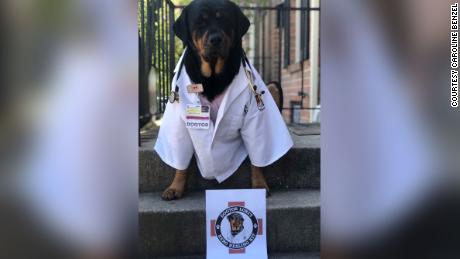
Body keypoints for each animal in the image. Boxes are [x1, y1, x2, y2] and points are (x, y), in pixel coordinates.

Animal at [162, 0, 270, 201]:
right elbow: (180, 160)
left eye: (225, 19)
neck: (212, 77)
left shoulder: (254, 118)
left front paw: (259, 184)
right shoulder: (179, 123)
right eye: (199, 22)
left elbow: (257, 155)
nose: (215, 39)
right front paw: (175, 186)